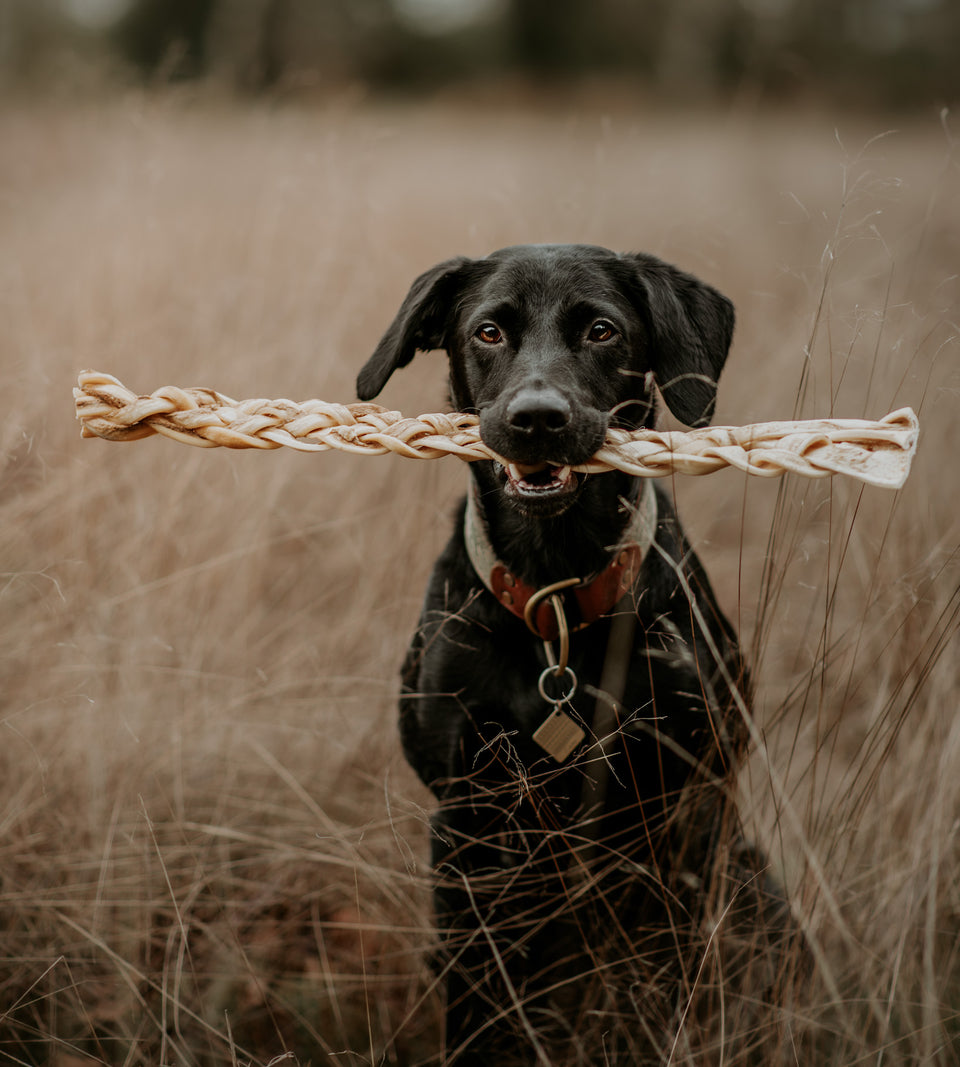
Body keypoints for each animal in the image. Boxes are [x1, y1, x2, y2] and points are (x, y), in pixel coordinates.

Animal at [356, 245, 785, 1062]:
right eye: (488, 331)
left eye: (601, 330)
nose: (537, 419)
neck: (554, 595)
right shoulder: (468, 818)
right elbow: (478, 1001)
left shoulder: (683, 812)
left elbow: (666, 980)